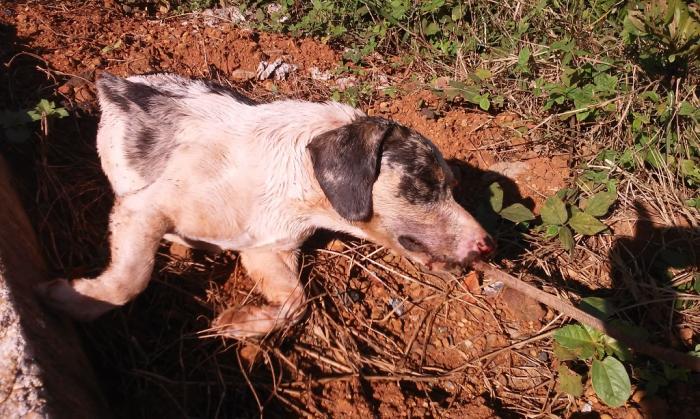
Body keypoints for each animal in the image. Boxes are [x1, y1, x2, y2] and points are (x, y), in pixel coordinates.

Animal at [35, 73, 494, 338]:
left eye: (452, 185)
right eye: (424, 181)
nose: (487, 245)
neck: (294, 190)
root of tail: (116, 79)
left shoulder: (267, 249)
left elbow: (296, 302)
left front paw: (234, 324)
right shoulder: (143, 208)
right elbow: (131, 278)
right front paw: (67, 298)